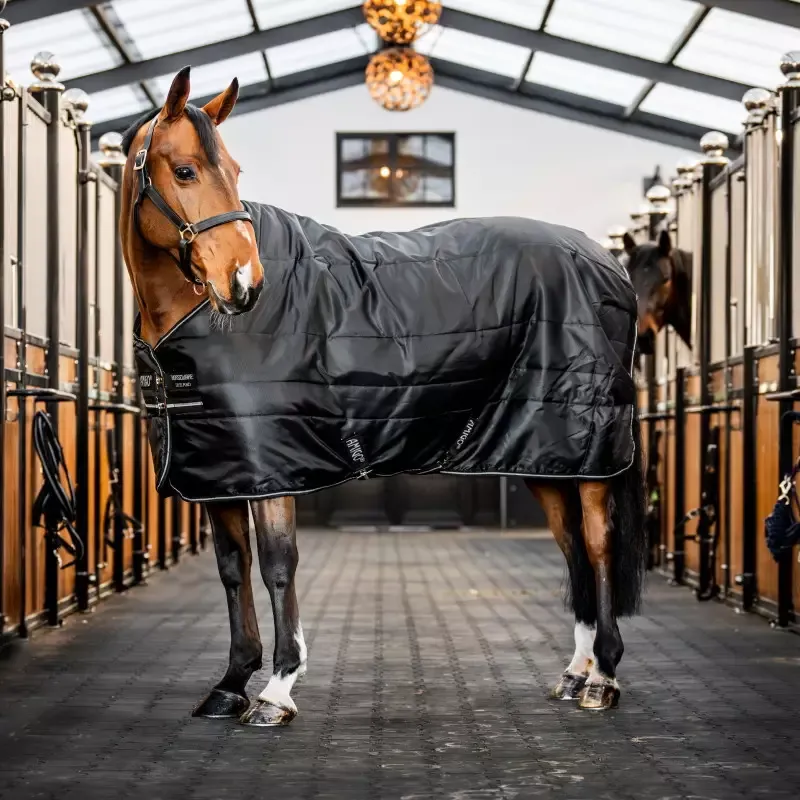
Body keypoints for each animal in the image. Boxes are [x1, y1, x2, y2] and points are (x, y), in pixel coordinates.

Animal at [120, 67, 647, 726]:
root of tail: (607, 261)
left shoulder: (271, 468)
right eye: (186, 170)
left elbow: (277, 565)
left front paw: (276, 689)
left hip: (590, 457)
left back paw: (604, 677)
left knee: (598, 545)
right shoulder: (221, 470)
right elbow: (232, 569)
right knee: (572, 546)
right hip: (544, 456)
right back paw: (576, 673)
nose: (245, 283)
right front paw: (232, 681)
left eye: (236, 171)